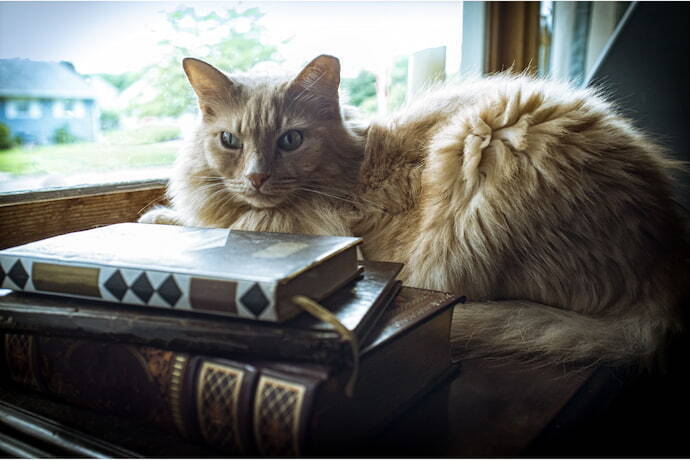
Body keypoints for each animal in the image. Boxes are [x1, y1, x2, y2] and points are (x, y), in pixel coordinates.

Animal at [138, 54, 684, 370]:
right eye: (229, 141)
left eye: (291, 140)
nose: (255, 177)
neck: (353, 167)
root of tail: (664, 271)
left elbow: (216, 225)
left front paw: (164, 221)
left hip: (487, 144)